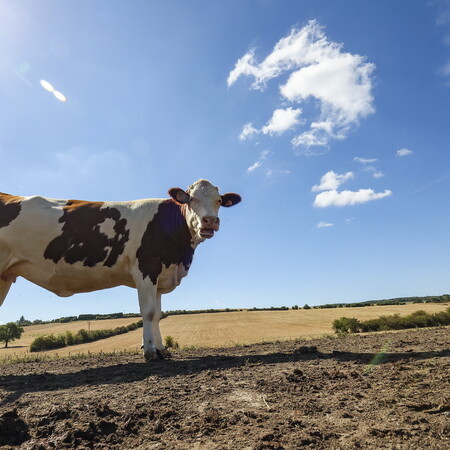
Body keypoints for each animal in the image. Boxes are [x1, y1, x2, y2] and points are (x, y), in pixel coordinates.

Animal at [0, 181, 239, 360]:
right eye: (191, 199)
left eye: (219, 201)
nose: (210, 221)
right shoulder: (146, 269)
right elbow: (148, 312)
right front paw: (150, 351)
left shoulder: (160, 276)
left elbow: (157, 314)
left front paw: (161, 348)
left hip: (5, 276)